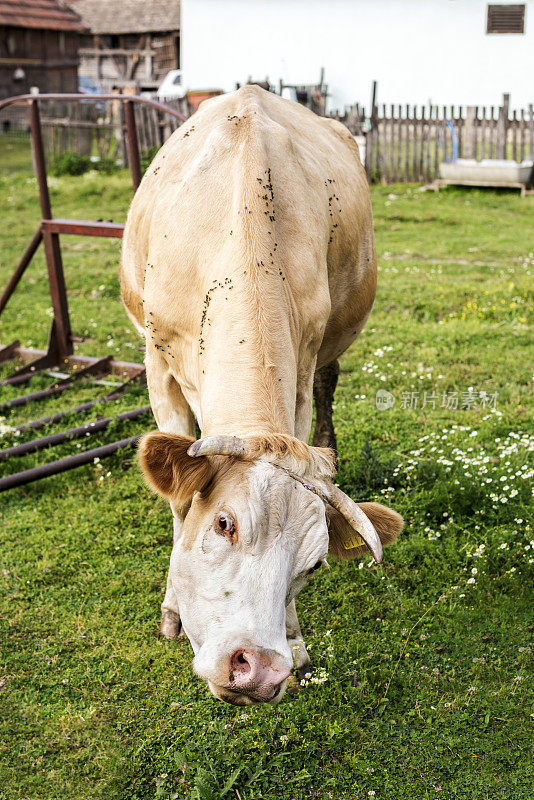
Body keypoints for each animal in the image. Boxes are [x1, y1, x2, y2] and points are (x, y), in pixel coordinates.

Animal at [121, 84, 404, 704]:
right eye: (224, 524)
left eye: (315, 565)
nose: (261, 670)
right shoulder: (158, 365)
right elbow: (177, 502)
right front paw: (172, 609)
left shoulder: (301, 369)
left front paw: (294, 640)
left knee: (329, 388)